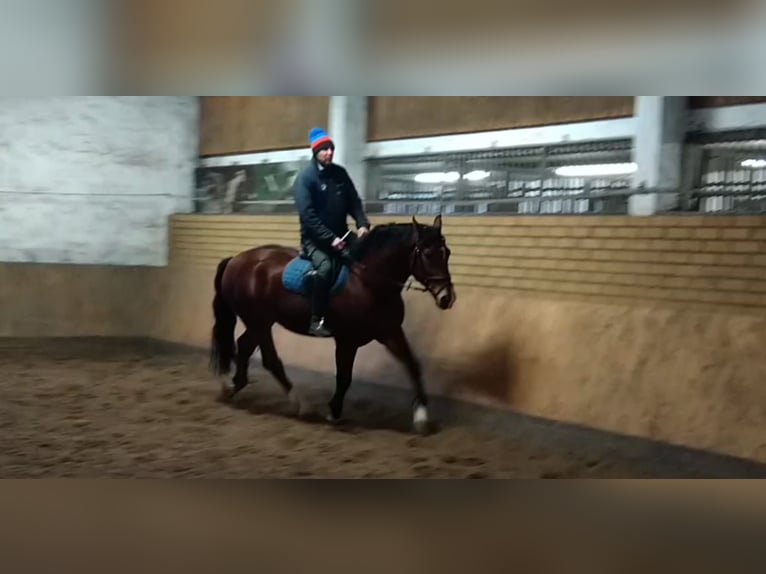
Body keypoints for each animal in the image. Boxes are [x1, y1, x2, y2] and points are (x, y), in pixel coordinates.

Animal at [208, 216, 456, 436]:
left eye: (447, 252)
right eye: (427, 254)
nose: (447, 298)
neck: (367, 281)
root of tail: (236, 259)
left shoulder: (390, 333)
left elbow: (413, 366)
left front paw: (422, 418)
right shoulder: (347, 340)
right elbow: (344, 378)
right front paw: (334, 412)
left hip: (261, 322)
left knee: (246, 346)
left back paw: (234, 387)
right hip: (258, 321)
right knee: (267, 357)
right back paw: (299, 404)